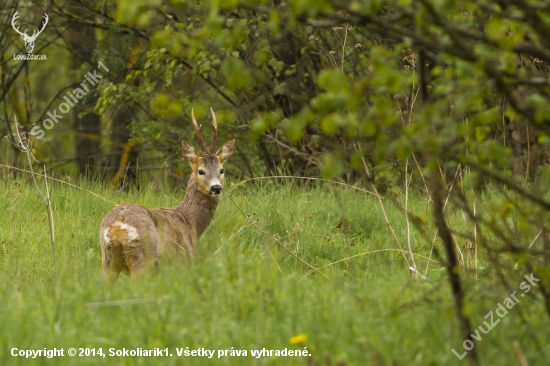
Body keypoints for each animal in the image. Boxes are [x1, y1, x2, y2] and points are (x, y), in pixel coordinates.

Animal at [100, 108, 236, 278]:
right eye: (201, 171)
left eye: (221, 170)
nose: (216, 188)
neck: (189, 222)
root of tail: (117, 226)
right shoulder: (182, 261)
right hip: (143, 258)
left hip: (108, 260)